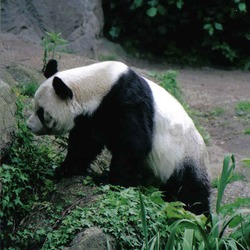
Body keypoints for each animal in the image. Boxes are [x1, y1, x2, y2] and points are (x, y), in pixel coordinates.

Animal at [27, 59, 211, 215]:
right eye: (34, 106)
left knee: (191, 193)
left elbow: (133, 145)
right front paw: (64, 170)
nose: (29, 126)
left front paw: (110, 182)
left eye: (41, 112)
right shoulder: (91, 116)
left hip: (183, 157)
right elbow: (84, 144)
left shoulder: (126, 101)